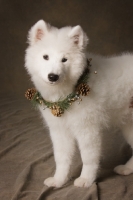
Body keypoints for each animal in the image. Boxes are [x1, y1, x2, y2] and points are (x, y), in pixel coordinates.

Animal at [24, 19, 133, 188]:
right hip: (129, 125)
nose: (53, 76)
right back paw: (127, 168)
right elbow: (61, 158)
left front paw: (86, 179)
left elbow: (88, 158)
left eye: (64, 59)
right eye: (45, 57)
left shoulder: (88, 129)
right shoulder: (59, 130)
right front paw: (59, 180)